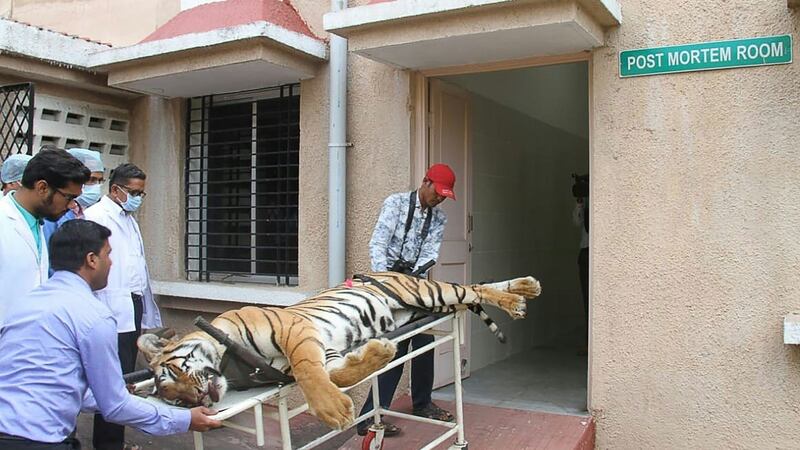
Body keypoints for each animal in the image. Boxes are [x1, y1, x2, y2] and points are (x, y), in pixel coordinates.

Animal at [138, 270, 540, 428]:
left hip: (424, 292)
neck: (231, 365)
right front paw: (377, 353)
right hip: (428, 304)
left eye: (173, 372)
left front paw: (333, 410)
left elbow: (309, 374)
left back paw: (520, 295)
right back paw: (524, 291)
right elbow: (340, 373)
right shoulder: (321, 351)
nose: (196, 400)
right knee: (470, 290)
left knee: (472, 288)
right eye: (176, 402)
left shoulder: (295, 331)